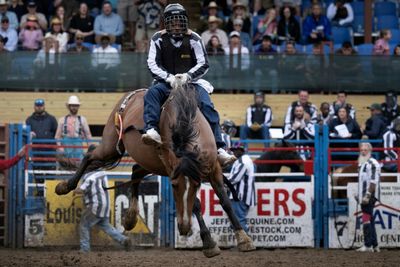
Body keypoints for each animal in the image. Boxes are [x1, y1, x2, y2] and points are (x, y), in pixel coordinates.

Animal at [54, 78, 255, 258]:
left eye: (198, 185)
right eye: (173, 186)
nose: (183, 226)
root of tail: (128, 97)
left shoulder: (213, 168)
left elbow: (225, 200)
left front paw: (244, 239)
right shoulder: (172, 169)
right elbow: (197, 204)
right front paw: (209, 243)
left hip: (150, 163)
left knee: (135, 171)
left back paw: (130, 218)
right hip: (112, 146)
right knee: (89, 156)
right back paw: (64, 186)